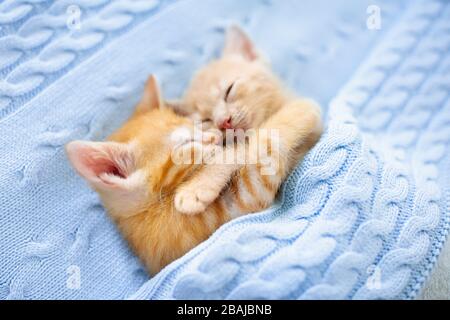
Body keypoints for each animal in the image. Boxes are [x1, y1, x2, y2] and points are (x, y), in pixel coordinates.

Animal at [65, 76, 318, 274]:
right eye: (186, 144)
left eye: (196, 125)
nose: (215, 136)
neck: (149, 209)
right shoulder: (242, 197)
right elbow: (256, 145)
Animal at [170, 25, 324, 215]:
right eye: (206, 120)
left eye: (229, 90)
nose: (223, 121)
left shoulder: (306, 110)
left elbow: (244, 148)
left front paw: (196, 187)